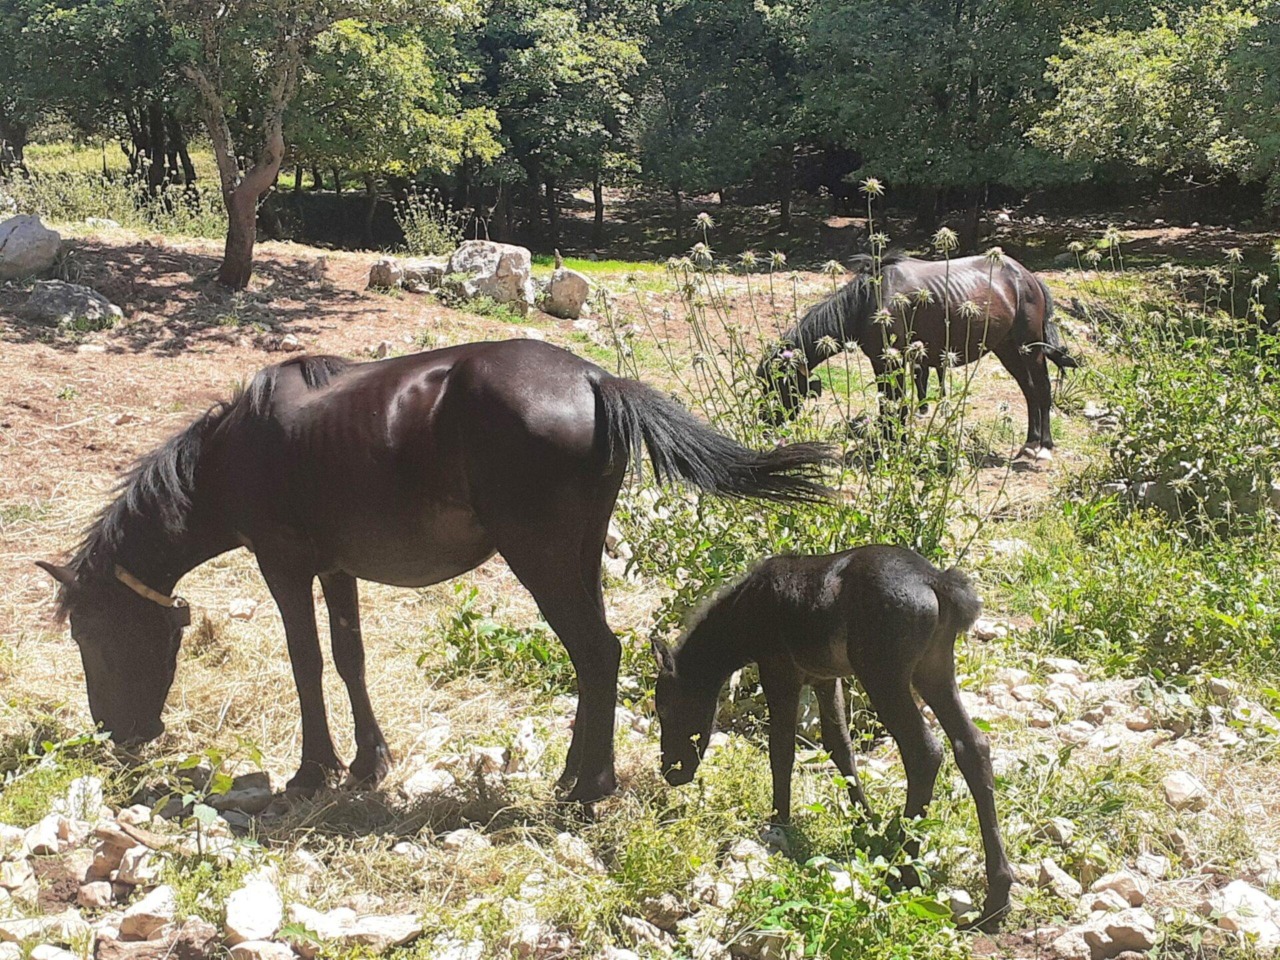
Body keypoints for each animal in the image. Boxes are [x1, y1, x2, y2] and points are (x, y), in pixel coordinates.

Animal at [38, 339, 835, 804]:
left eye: (90, 637)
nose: (116, 733)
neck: (237, 452)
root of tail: (594, 379)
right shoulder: (337, 570)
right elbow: (349, 656)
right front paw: (369, 763)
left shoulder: (284, 566)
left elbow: (305, 662)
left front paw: (313, 771)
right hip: (577, 557)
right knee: (595, 658)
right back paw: (576, 774)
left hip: (541, 559)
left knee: (597, 653)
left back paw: (589, 785)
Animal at [651, 544, 1013, 930]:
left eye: (666, 709)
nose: (672, 771)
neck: (745, 609)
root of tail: (936, 581)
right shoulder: (826, 678)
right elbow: (839, 746)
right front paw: (865, 821)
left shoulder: (780, 671)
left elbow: (781, 750)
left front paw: (779, 822)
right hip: (934, 668)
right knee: (972, 745)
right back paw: (997, 895)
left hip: (884, 675)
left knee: (924, 752)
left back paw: (905, 867)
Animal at [757, 253, 1078, 459]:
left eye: (778, 385)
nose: (765, 423)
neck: (867, 301)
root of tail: (1028, 277)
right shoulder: (881, 363)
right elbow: (889, 404)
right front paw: (889, 444)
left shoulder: (893, 361)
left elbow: (896, 405)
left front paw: (892, 446)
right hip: (1008, 349)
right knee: (1029, 391)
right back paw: (1030, 442)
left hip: (1030, 348)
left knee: (1042, 390)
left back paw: (1044, 446)